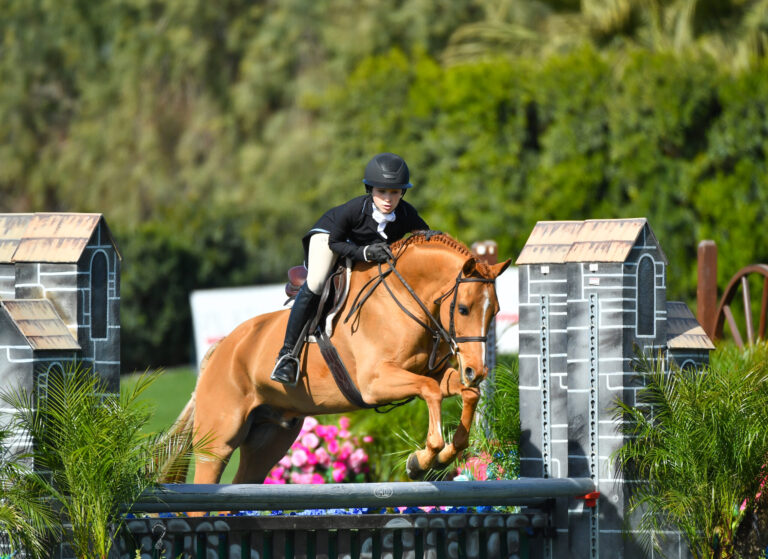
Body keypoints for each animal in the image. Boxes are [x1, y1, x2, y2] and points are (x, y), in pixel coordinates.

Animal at [172, 233, 512, 486]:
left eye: (495, 311)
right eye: (463, 309)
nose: (476, 370)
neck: (403, 300)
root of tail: (221, 348)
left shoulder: (435, 373)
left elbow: (467, 393)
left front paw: (442, 455)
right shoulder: (375, 383)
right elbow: (430, 391)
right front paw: (424, 458)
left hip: (269, 440)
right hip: (218, 442)